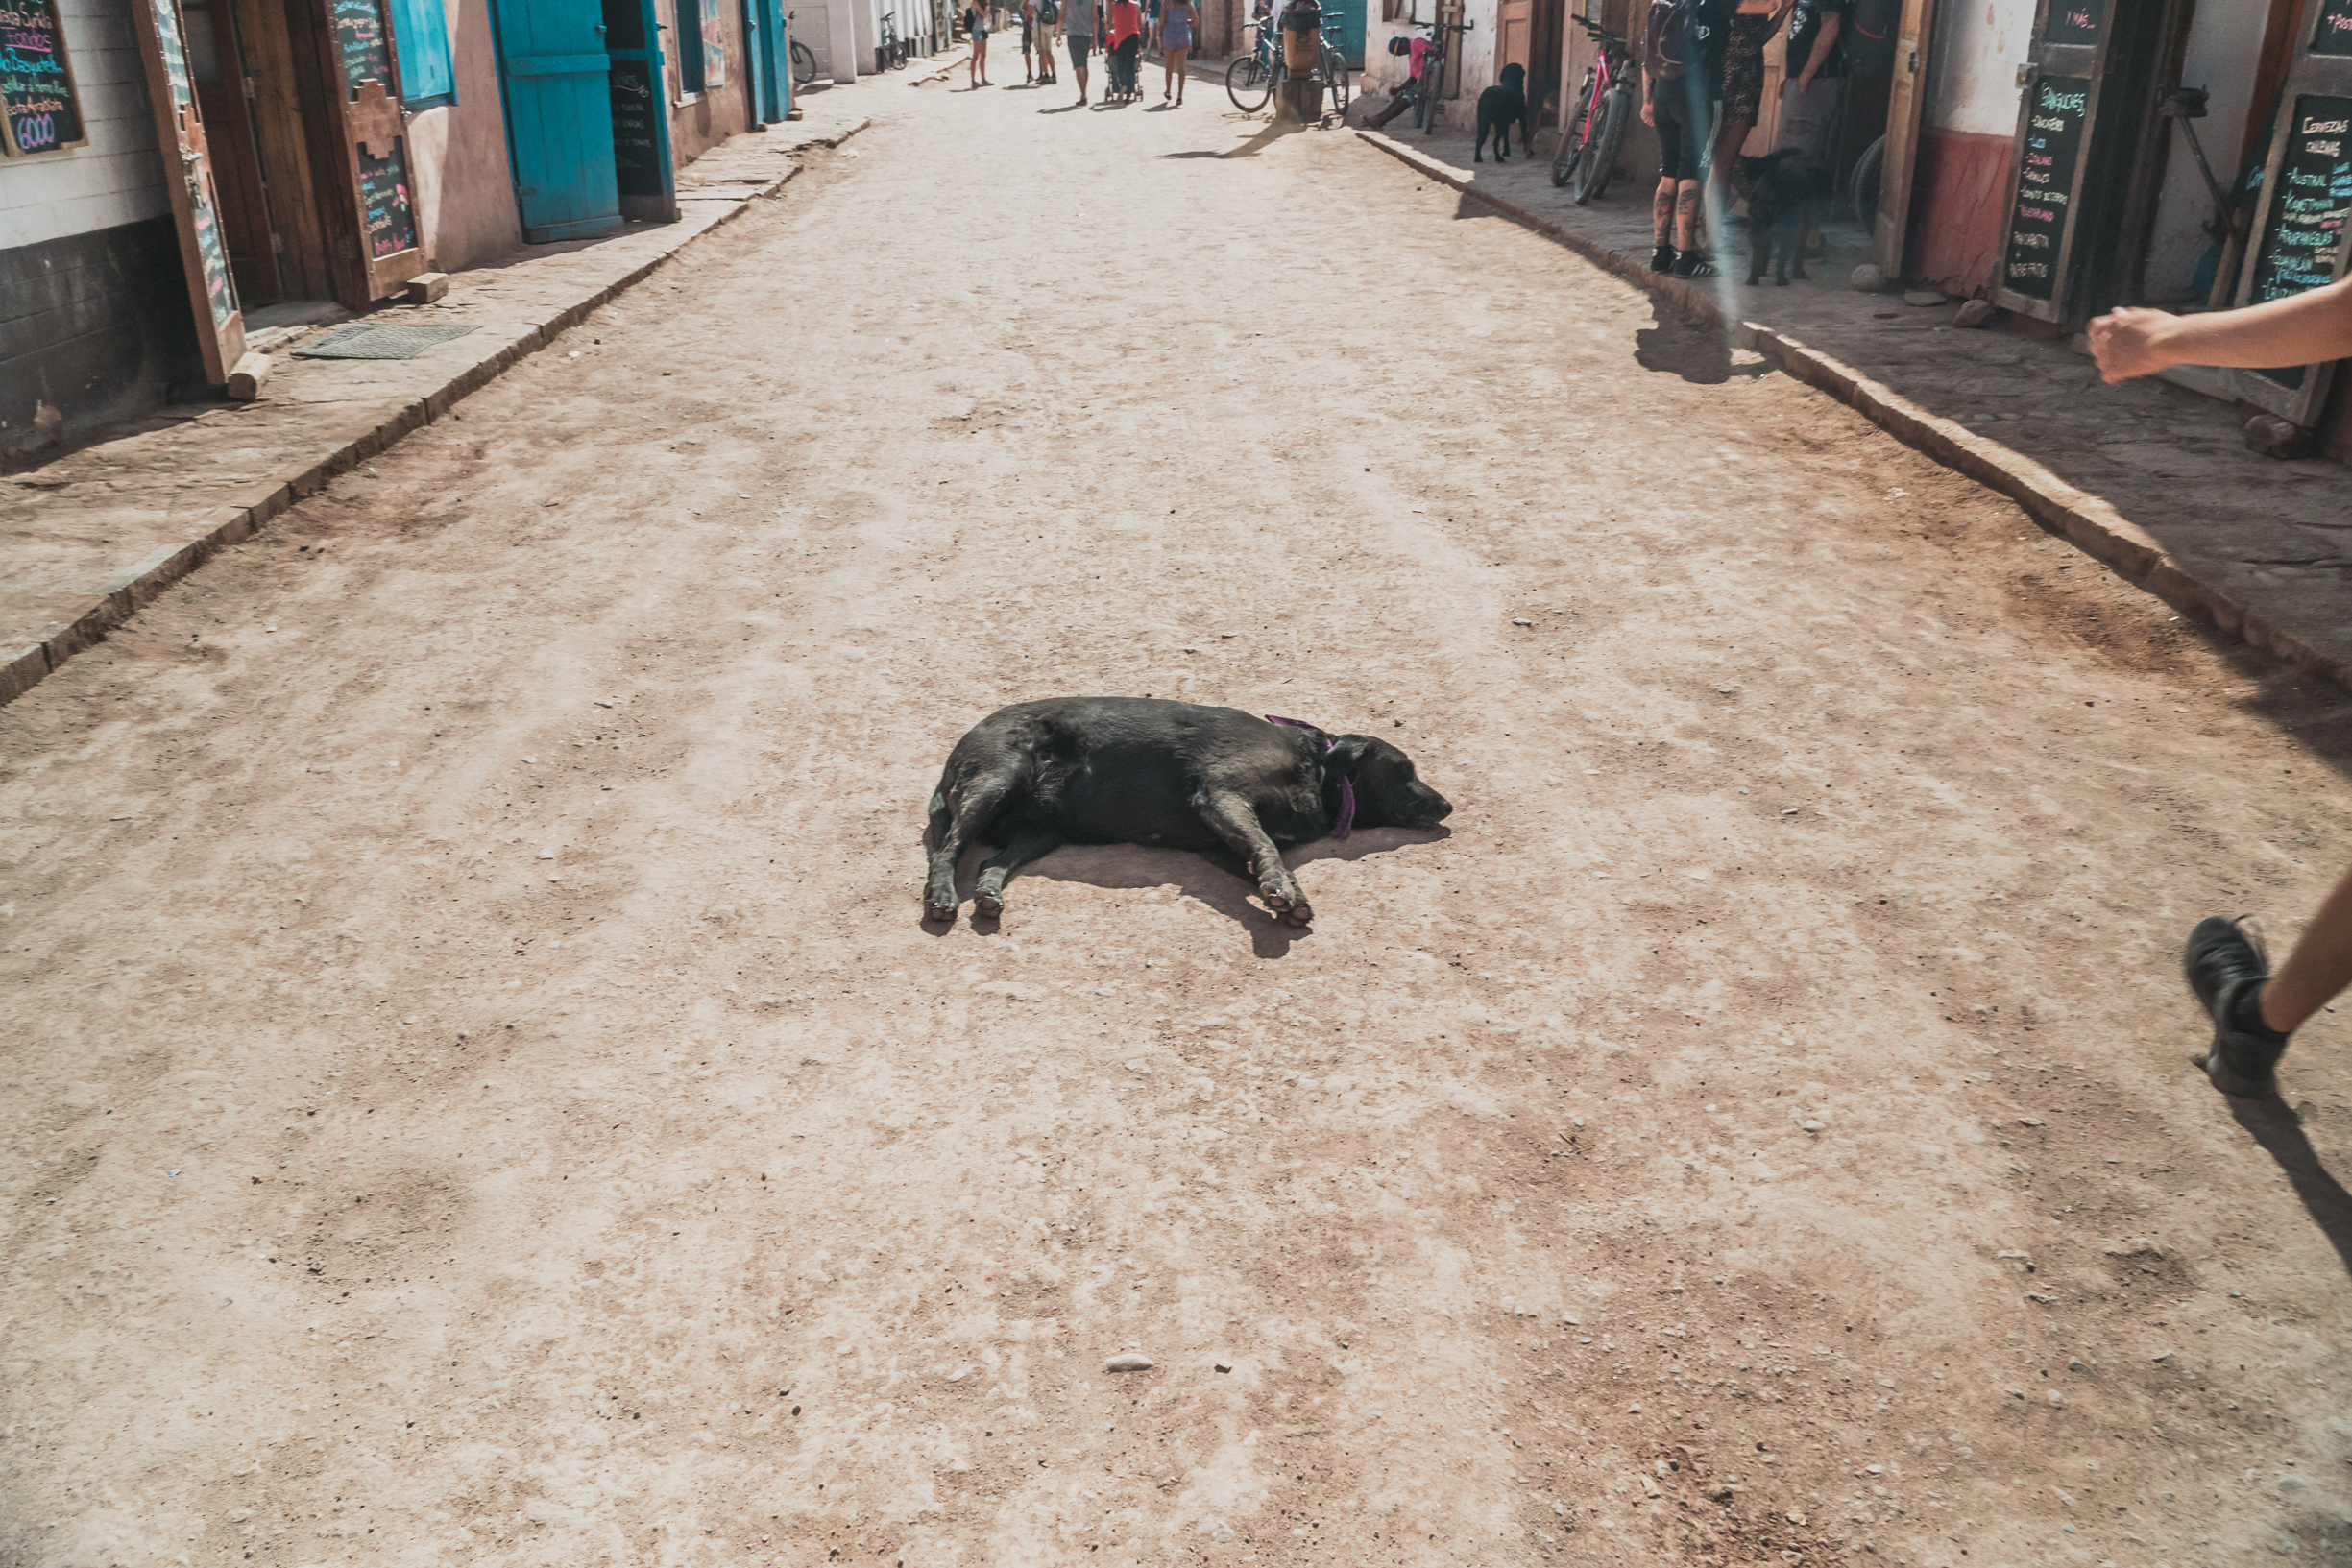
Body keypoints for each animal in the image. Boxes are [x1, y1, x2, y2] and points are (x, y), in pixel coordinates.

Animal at [922, 695, 1448, 921]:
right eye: (1405, 770)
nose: (1447, 805)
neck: (1315, 770)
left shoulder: (1225, 840)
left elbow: (1266, 859)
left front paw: (1286, 894)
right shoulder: (1221, 796)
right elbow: (1269, 851)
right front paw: (1282, 889)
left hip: (1039, 832)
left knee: (988, 862)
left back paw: (988, 893)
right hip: (997, 781)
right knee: (946, 851)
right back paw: (942, 895)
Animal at [1731, 148, 1834, 286]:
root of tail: (1772, 178)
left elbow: (1765, 253)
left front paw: (1761, 272)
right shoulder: (1803, 227)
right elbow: (1799, 252)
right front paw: (1798, 273)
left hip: (1756, 229)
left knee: (1756, 256)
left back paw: (1752, 280)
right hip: (1787, 232)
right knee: (1781, 259)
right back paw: (1782, 281)